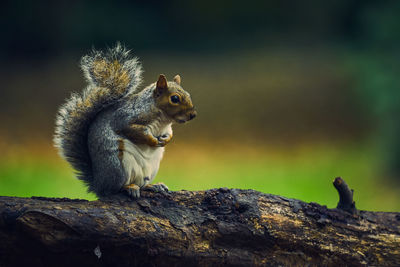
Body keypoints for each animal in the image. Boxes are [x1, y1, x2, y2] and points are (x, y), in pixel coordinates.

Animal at [53, 43, 197, 199]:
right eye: (174, 98)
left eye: (188, 94)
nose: (193, 115)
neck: (162, 119)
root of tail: (98, 185)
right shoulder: (126, 118)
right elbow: (134, 130)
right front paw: (152, 140)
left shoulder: (166, 128)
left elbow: (170, 133)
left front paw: (166, 140)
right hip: (117, 165)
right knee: (114, 189)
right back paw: (129, 187)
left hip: (150, 168)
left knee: (142, 184)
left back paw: (153, 186)